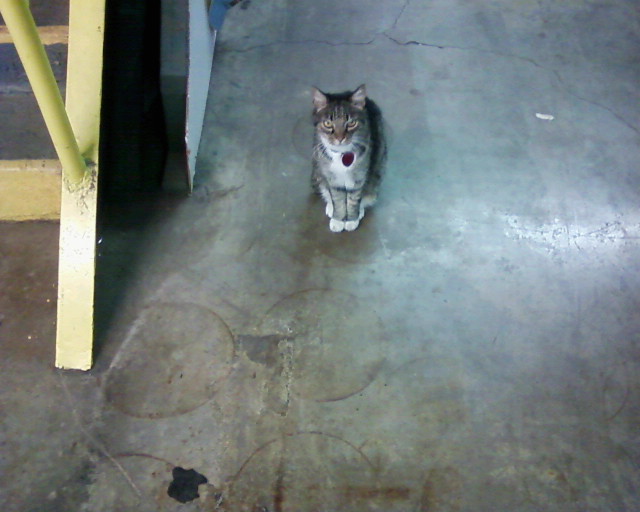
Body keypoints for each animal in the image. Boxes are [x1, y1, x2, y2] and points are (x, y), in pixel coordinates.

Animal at [311, 84, 386, 232]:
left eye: (351, 123)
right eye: (327, 123)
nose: (340, 138)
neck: (341, 154)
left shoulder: (359, 177)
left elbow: (354, 199)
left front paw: (351, 219)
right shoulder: (332, 178)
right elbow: (337, 198)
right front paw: (338, 219)